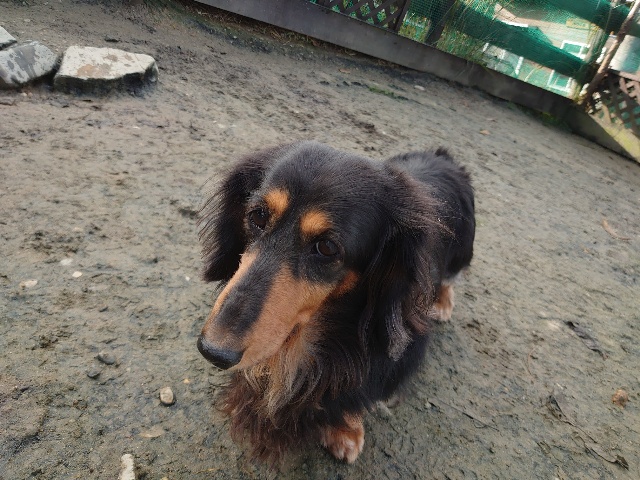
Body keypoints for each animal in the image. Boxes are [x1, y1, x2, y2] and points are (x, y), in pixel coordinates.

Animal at [197, 141, 475, 464]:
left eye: (327, 247)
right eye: (258, 216)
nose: (213, 350)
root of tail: (442, 158)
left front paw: (347, 431)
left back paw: (442, 302)